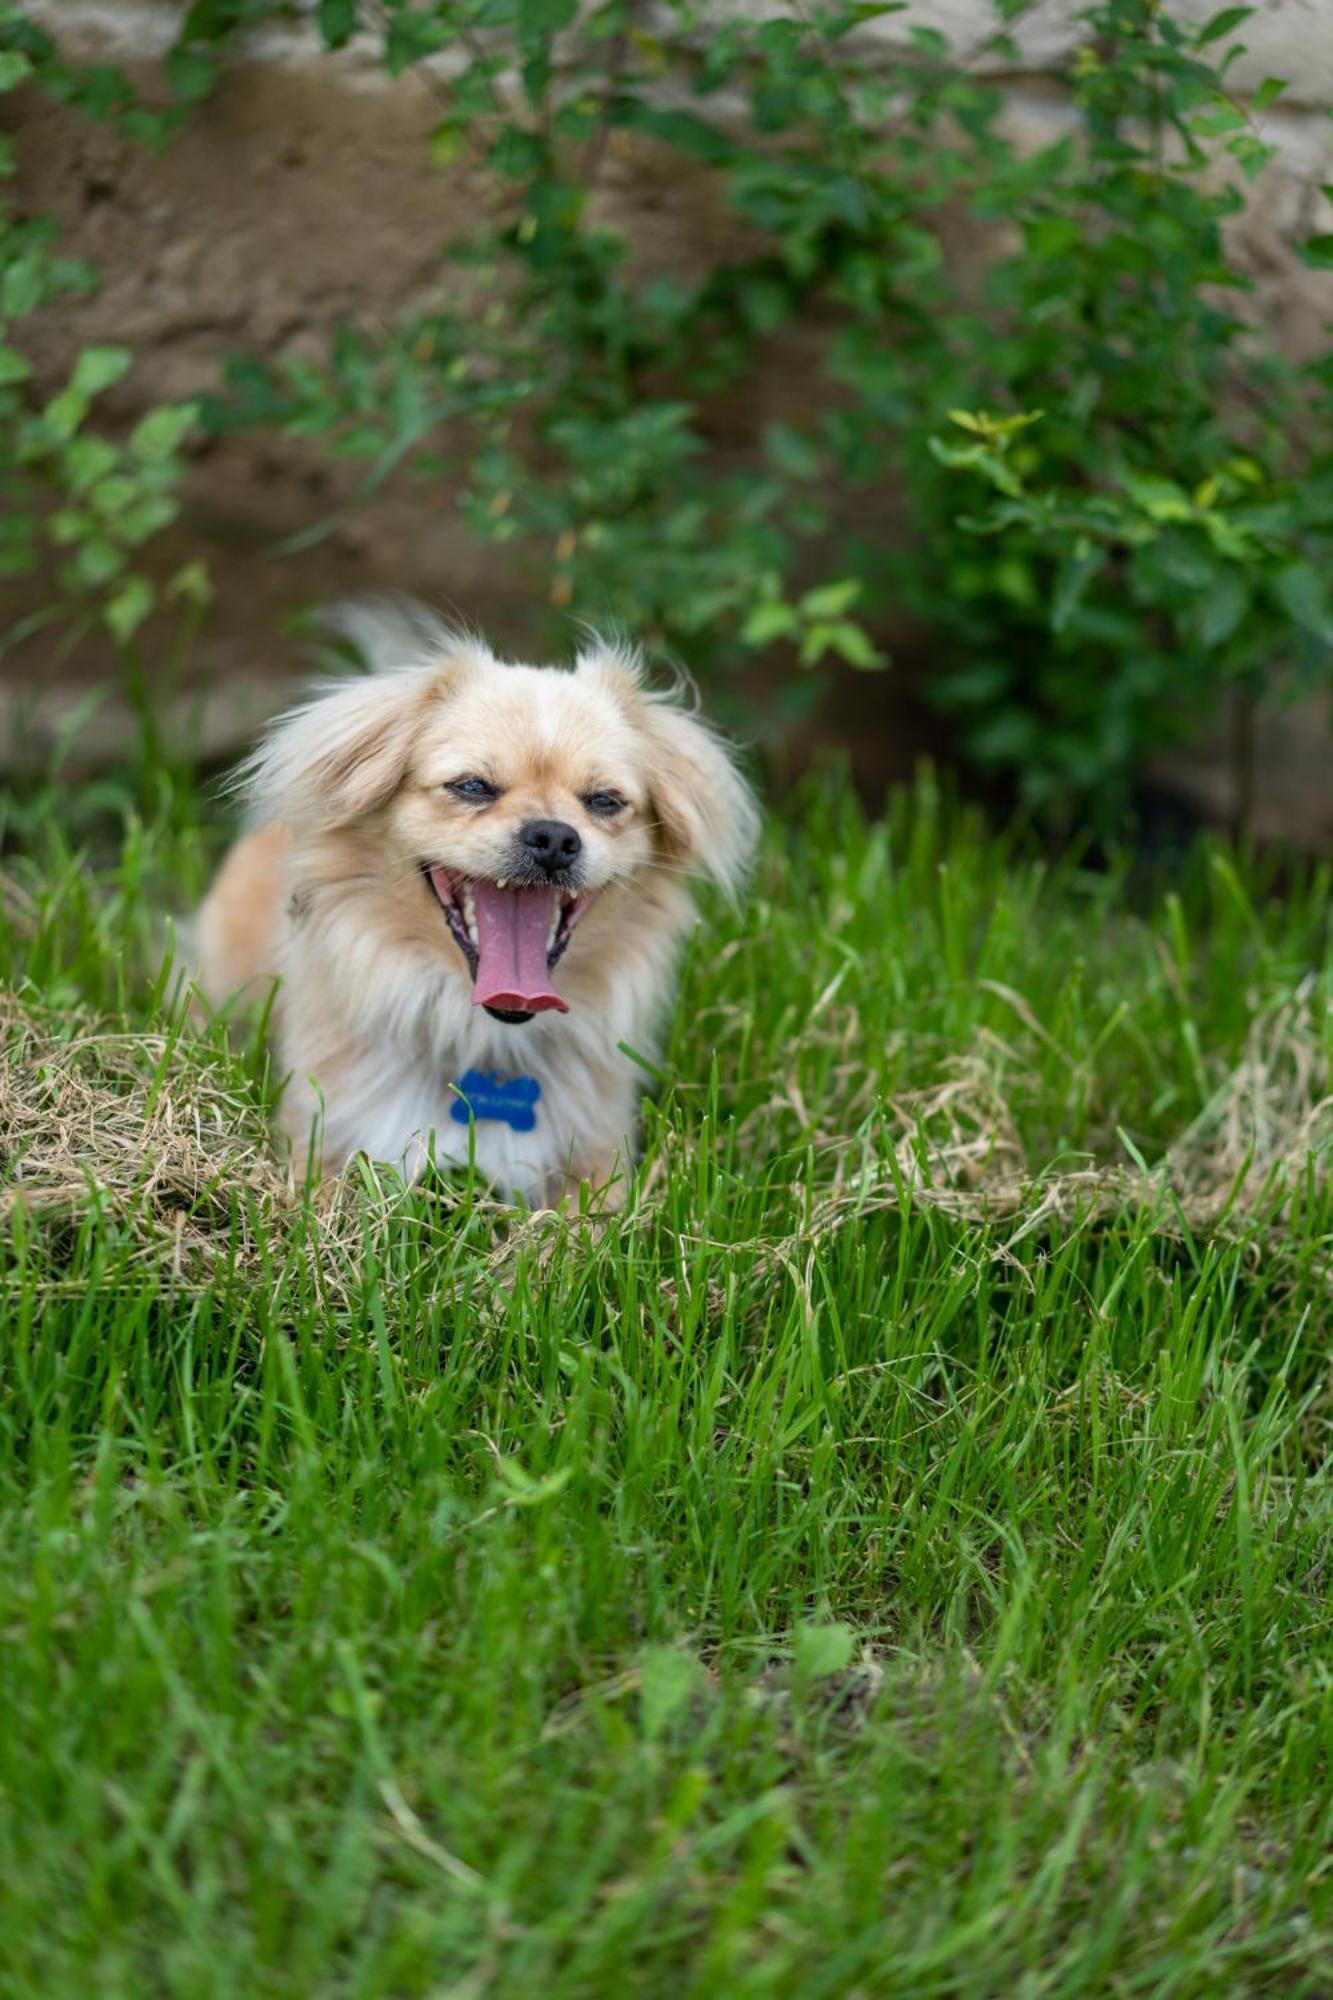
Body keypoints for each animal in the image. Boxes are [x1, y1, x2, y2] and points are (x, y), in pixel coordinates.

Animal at [196, 600, 756, 1200]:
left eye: (604, 801)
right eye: (472, 787)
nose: (553, 837)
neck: (484, 1039)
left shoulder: (599, 1160)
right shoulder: (320, 1141)